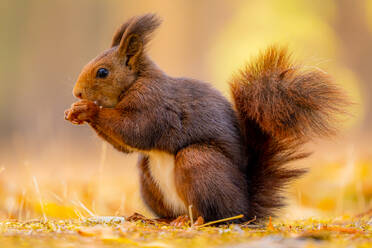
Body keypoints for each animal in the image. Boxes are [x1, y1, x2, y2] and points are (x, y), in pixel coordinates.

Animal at [64, 13, 348, 223]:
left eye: (102, 72)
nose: (77, 92)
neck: (137, 81)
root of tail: (245, 208)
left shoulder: (155, 104)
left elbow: (136, 130)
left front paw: (88, 110)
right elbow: (126, 146)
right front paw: (75, 110)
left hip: (198, 162)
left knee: (213, 215)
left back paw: (191, 221)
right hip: (148, 177)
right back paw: (154, 219)